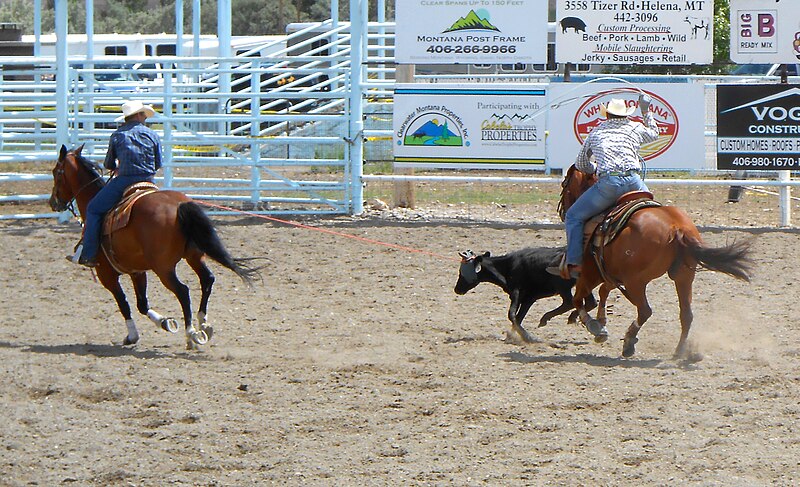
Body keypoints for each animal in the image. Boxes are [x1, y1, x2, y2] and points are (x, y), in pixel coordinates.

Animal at [48, 145, 260, 350]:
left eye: (56, 172)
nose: (53, 203)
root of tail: (179, 205)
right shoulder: (137, 271)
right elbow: (142, 304)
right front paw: (166, 323)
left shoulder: (106, 274)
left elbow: (124, 303)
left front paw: (132, 336)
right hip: (194, 256)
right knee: (207, 280)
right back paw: (203, 325)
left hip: (163, 268)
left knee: (183, 291)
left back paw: (191, 334)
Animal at [560, 166, 752, 360]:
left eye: (565, 184)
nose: (562, 212)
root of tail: (677, 227)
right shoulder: (611, 275)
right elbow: (603, 291)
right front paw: (602, 322)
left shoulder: (590, 274)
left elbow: (578, 299)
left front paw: (594, 326)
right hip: (683, 276)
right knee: (686, 314)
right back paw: (678, 351)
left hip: (636, 281)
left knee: (645, 310)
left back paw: (629, 342)